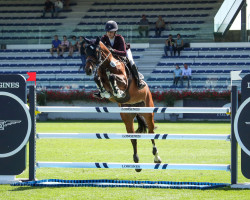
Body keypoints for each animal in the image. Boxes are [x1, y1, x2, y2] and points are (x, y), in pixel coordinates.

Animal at [83, 36, 162, 171]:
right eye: (85, 51)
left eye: (96, 51)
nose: (88, 70)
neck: (106, 66)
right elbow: (97, 79)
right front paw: (104, 92)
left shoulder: (124, 81)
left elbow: (113, 77)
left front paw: (117, 91)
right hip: (127, 117)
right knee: (133, 138)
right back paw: (136, 162)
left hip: (148, 112)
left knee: (151, 133)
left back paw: (156, 157)